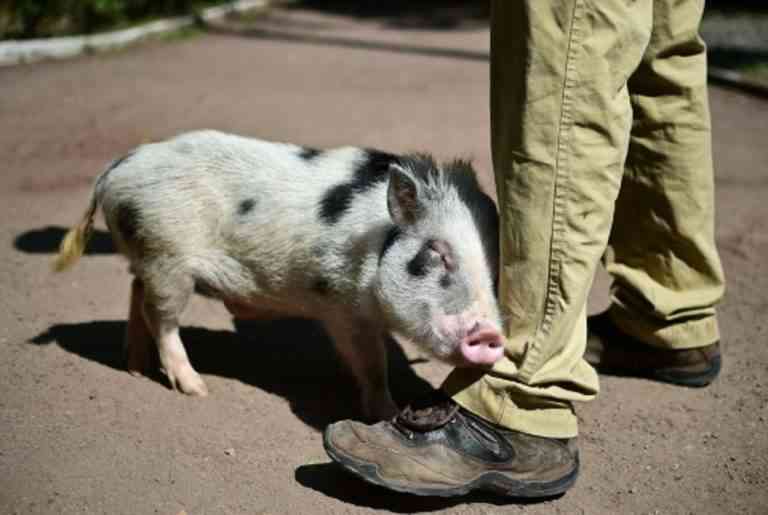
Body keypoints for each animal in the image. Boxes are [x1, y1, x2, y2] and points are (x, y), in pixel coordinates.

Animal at [54, 130, 505, 420]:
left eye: (495, 262)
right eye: (437, 252)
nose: (491, 334)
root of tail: (116, 169)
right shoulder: (341, 305)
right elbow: (373, 363)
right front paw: (388, 414)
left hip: (149, 255)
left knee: (136, 291)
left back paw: (135, 367)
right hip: (167, 257)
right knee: (160, 316)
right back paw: (196, 388)